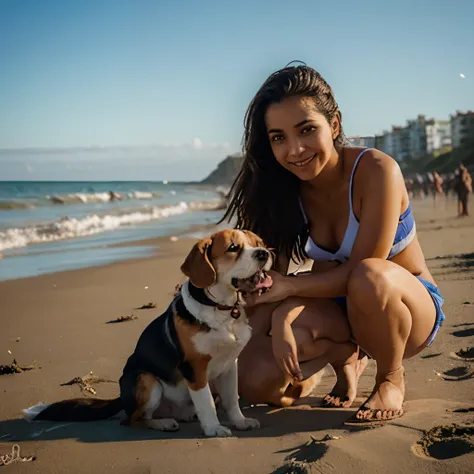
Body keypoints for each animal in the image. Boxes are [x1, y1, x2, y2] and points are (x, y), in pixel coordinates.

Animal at [23, 229, 274, 436]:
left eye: (258, 243)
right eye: (233, 247)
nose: (264, 253)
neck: (221, 309)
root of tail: (121, 397)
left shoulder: (230, 365)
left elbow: (232, 400)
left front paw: (240, 422)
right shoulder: (195, 368)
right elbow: (207, 403)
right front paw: (213, 428)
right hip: (147, 380)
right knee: (131, 420)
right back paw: (163, 423)